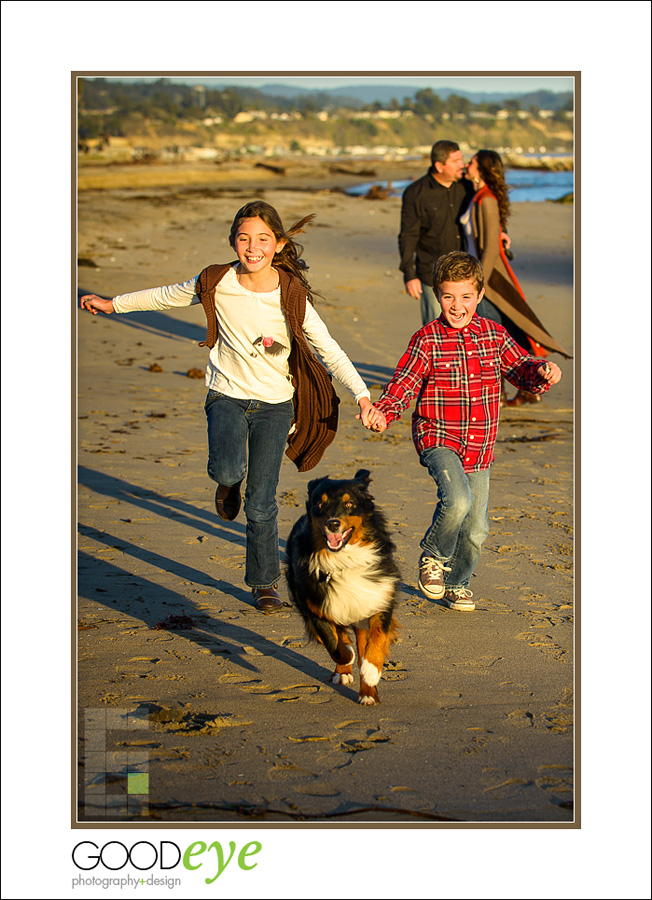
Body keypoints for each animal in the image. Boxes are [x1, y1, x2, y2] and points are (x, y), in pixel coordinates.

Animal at [286, 468, 400, 708]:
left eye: (349, 504)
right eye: (320, 504)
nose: (333, 524)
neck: (343, 561)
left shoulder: (378, 598)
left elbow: (376, 641)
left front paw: (371, 672)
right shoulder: (316, 607)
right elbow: (335, 645)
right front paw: (346, 660)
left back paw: (368, 693)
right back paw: (344, 671)